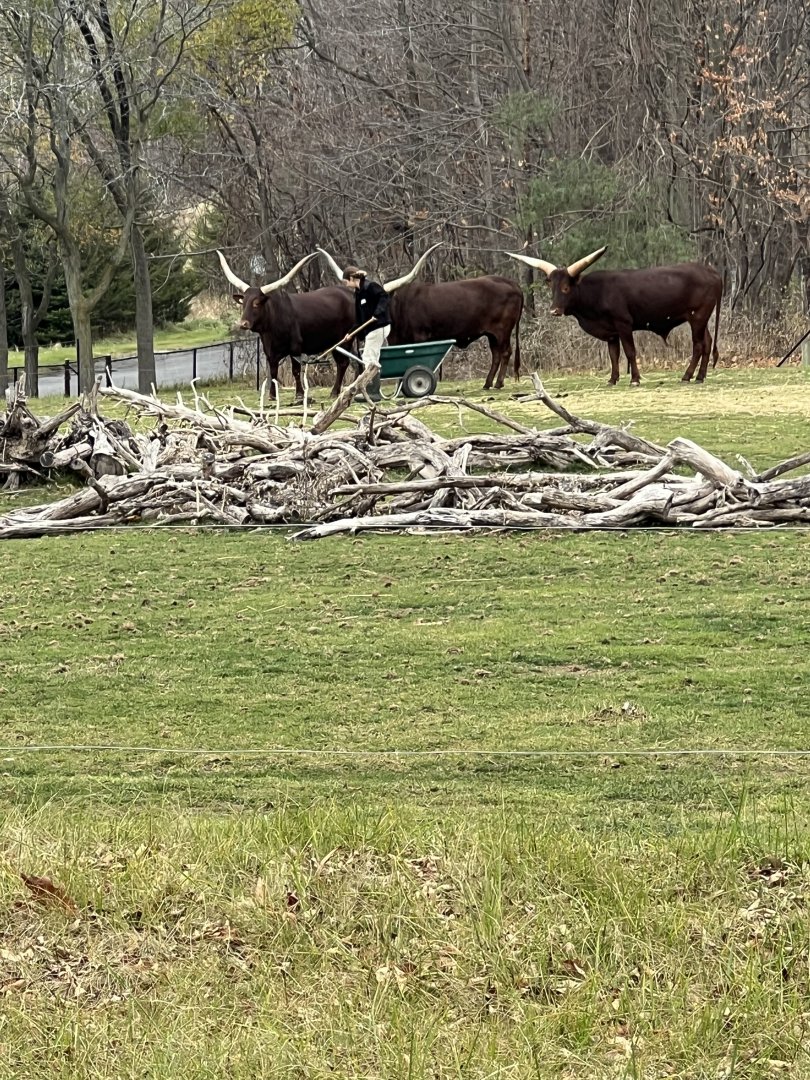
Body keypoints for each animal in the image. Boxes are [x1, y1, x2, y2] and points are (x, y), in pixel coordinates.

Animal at [217, 250, 356, 401]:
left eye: (256, 303)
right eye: (243, 303)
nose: (243, 324)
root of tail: (349, 293)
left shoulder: (295, 347)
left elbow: (296, 370)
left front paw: (299, 394)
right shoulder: (269, 351)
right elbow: (273, 372)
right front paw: (272, 395)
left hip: (344, 340)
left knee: (343, 363)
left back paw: (335, 392)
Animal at [317, 246, 523, 392]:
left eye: (383, 298)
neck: (400, 308)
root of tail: (513, 284)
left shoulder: (421, 338)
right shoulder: (398, 341)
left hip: (502, 330)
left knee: (505, 353)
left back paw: (498, 383)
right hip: (491, 334)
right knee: (496, 354)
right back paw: (488, 383)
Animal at [506, 247, 722, 385]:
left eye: (566, 287)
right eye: (552, 288)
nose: (554, 311)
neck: (596, 293)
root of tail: (712, 271)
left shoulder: (624, 324)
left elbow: (630, 352)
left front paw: (634, 379)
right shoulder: (611, 333)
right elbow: (613, 355)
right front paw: (613, 379)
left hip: (697, 317)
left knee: (698, 345)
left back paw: (687, 376)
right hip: (701, 319)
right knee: (707, 342)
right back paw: (700, 376)